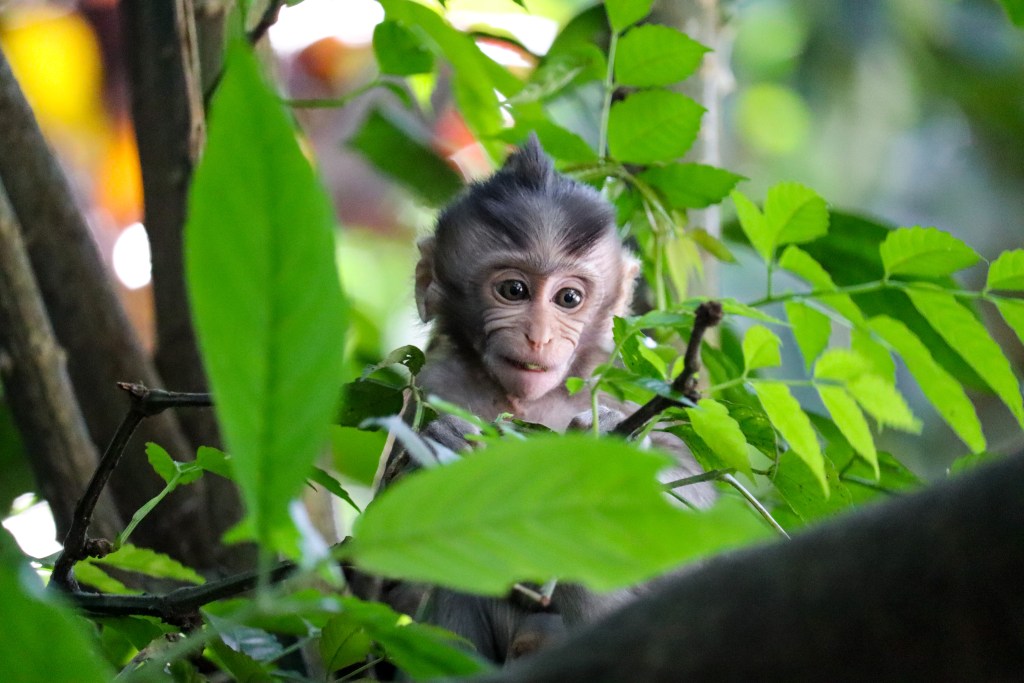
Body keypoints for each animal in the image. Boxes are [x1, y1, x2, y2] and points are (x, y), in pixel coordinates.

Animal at [375, 136, 713, 666]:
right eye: (514, 290)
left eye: (568, 299)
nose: (539, 336)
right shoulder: (429, 386)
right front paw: (438, 443)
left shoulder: (624, 384)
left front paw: (612, 445)